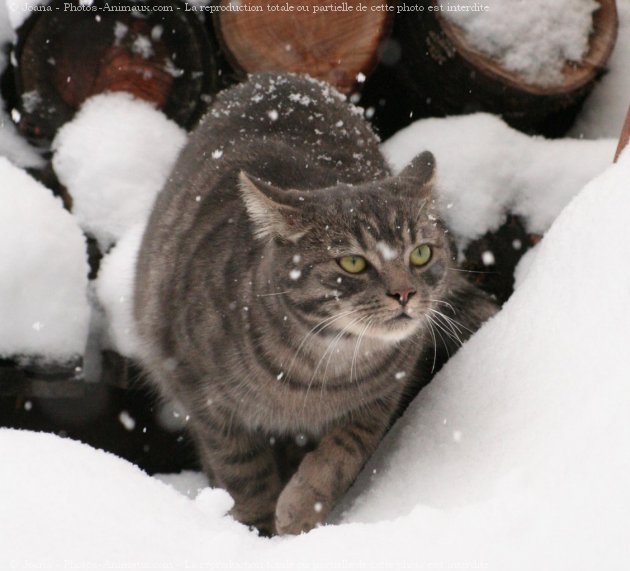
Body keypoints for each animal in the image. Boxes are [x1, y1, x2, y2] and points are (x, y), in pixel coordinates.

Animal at [135, 71, 498, 536]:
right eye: (353, 262)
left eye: (420, 254)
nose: (404, 293)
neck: (322, 370)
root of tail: (277, 77)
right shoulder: (202, 395)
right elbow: (242, 471)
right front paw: (256, 529)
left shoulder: (383, 394)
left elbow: (347, 448)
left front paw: (302, 507)